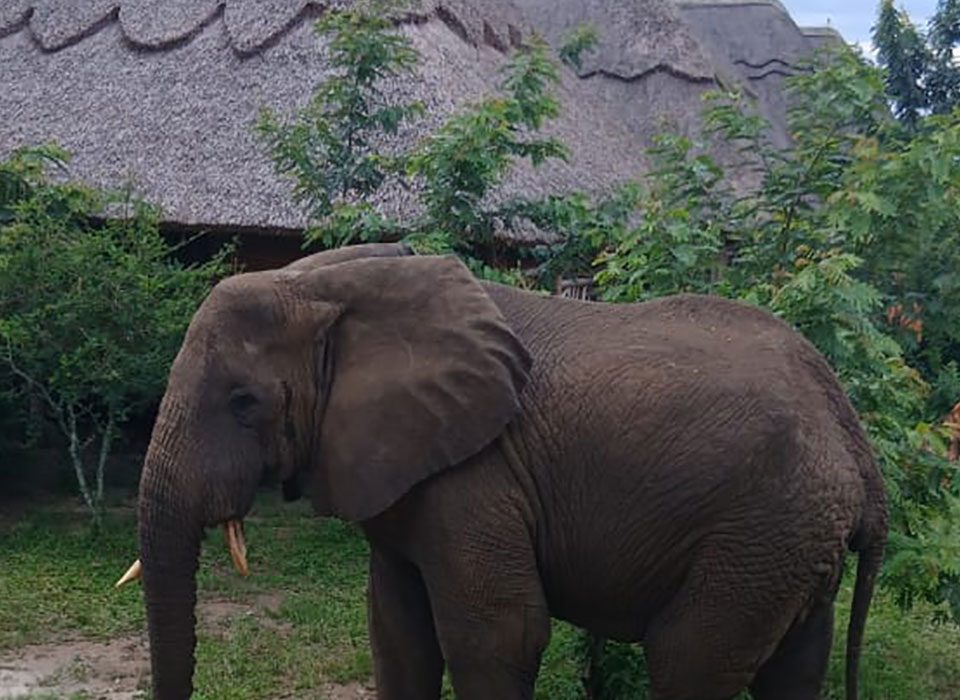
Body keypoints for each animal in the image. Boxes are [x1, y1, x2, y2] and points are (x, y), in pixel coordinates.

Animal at [119, 242, 887, 700]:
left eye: (243, 403)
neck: (330, 282)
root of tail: (853, 440)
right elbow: (397, 629)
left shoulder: (478, 474)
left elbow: (497, 634)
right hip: (786, 545)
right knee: (795, 667)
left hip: (758, 533)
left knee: (687, 661)